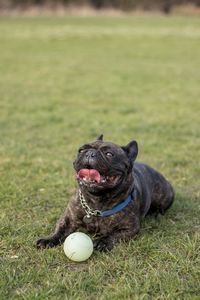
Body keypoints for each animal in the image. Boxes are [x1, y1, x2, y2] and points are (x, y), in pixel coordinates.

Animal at [36, 135, 174, 251]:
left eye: (109, 154)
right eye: (81, 150)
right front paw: (49, 239)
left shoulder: (129, 228)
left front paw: (103, 241)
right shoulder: (68, 219)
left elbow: (114, 234)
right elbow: (59, 230)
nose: (90, 153)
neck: (96, 202)